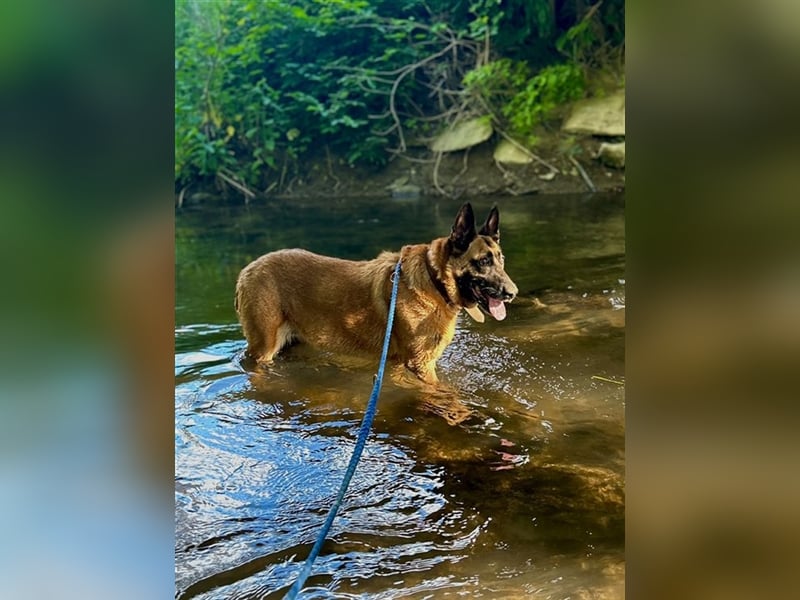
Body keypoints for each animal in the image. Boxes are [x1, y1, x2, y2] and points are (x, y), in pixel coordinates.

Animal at [233, 203, 520, 384]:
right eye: (483, 261)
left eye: (501, 259)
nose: (513, 293)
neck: (433, 279)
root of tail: (247, 269)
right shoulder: (421, 365)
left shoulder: (397, 365)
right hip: (264, 347)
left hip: (295, 345)